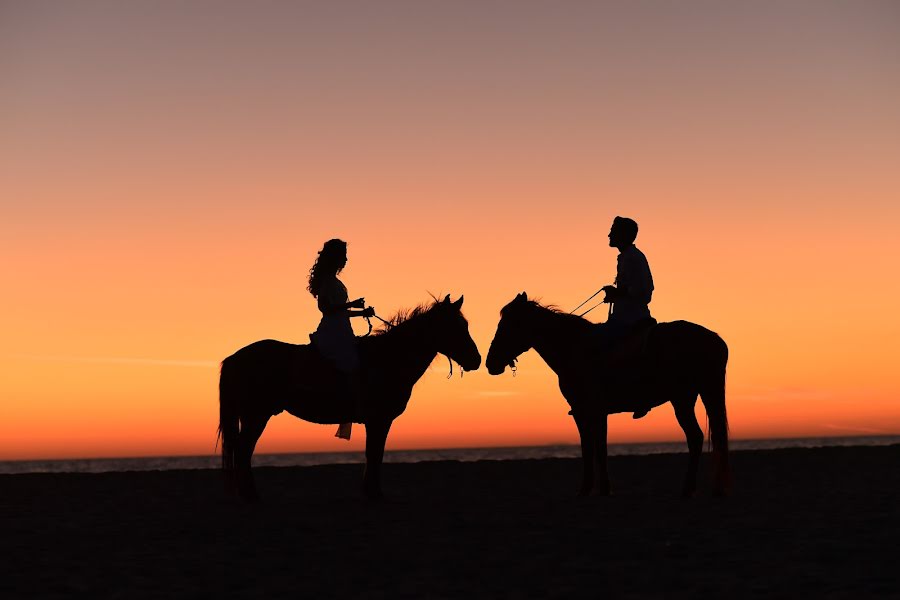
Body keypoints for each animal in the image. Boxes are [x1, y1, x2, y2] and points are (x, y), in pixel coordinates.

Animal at [219, 296, 482, 502]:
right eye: (455, 327)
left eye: (465, 325)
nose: (476, 359)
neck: (388, 358)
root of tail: (234, 358)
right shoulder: (379, 420)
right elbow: (374, 454)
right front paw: (373, 493)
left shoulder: (377, 421)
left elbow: (373, 454)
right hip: (256, 416)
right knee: (243, 450)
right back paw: (250, 495)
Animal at [486, 294, 732, 496]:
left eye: (508, 325)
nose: (490, 363)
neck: (574, 348)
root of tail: (715, 339)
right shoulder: (591, 412)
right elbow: (595, 448)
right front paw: (597, 488)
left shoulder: (589, 411)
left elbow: (593, 449)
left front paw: (593, 489)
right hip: (694, 396)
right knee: (700, 437)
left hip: (683, 398)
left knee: (696, 437)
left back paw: (689, 488)